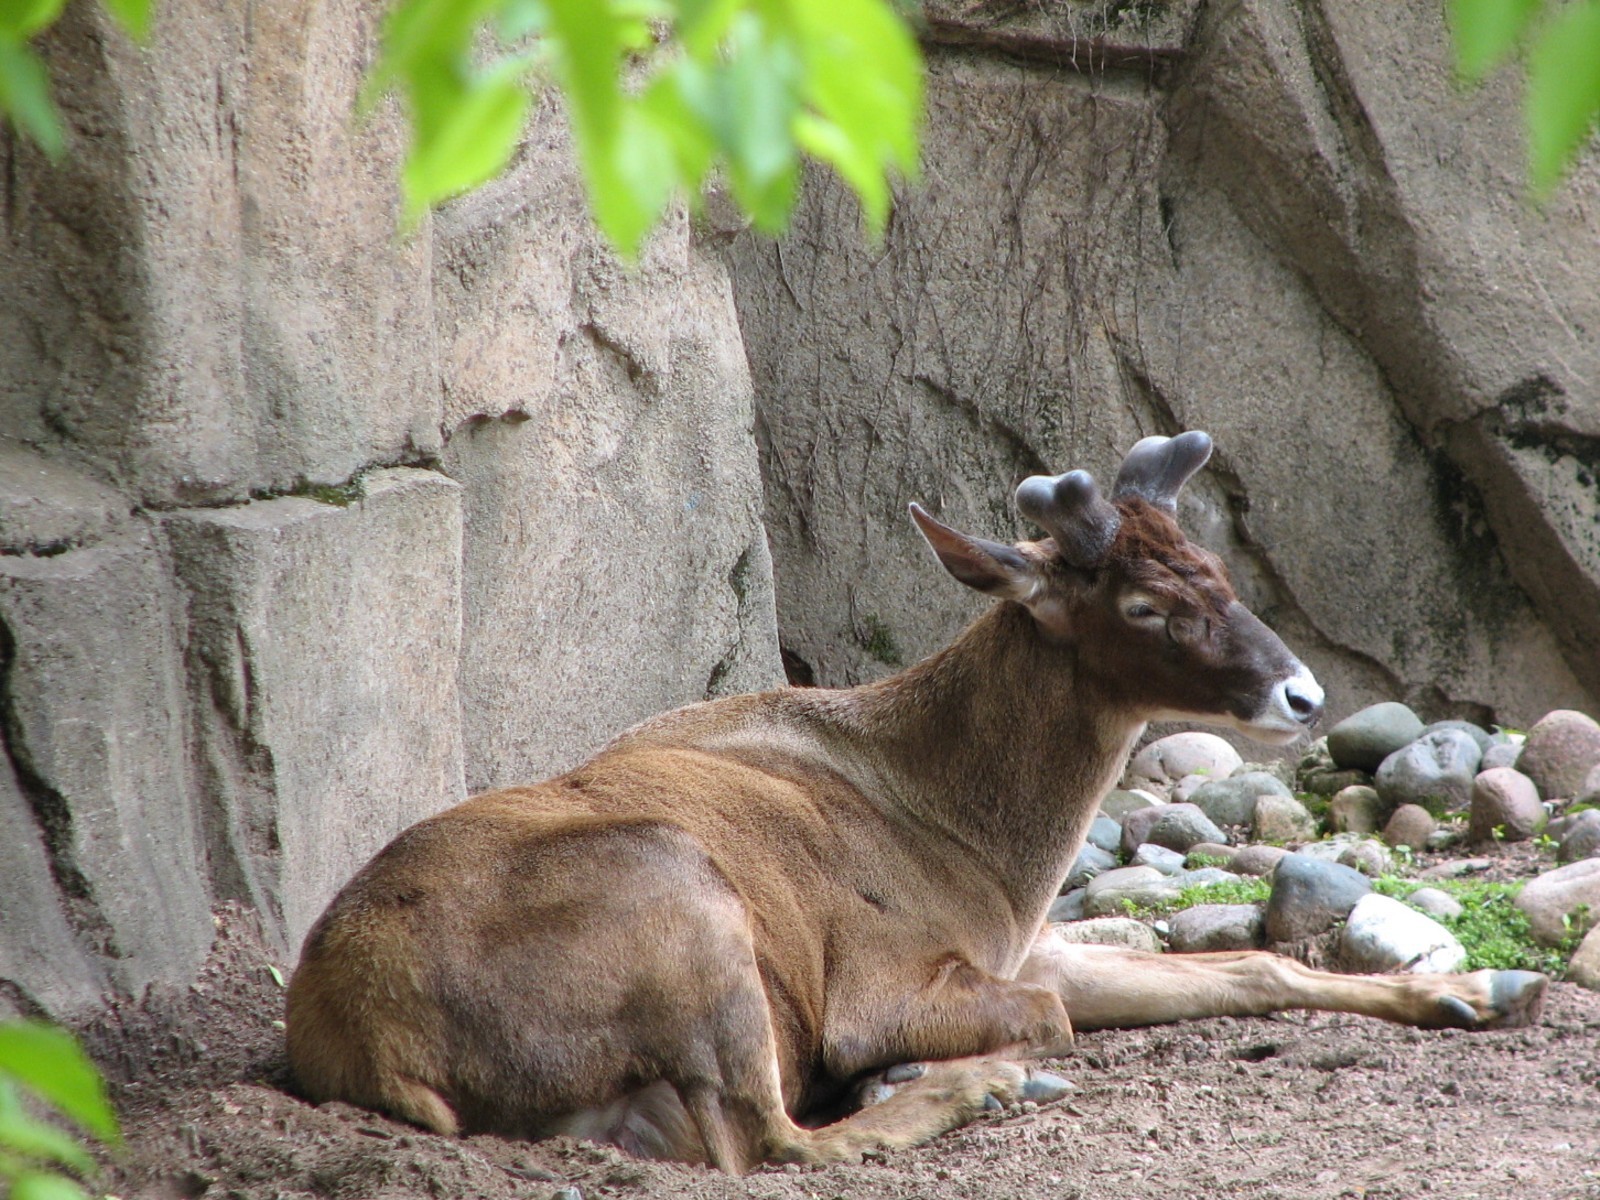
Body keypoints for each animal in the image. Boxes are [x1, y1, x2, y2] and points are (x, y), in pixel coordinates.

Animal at [285, 431, 1547, 1173]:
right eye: (1139, 604)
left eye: (1216, 569)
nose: (1300, 692)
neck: (982, 850)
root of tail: (372, 1042)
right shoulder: (884, 980)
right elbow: (1034, 1013)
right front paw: (930, 1066)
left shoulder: (1021, 944)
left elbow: (1245, 966)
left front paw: (1478, 988)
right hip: (682, 902)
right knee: (773, 1145)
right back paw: (977, 1085)